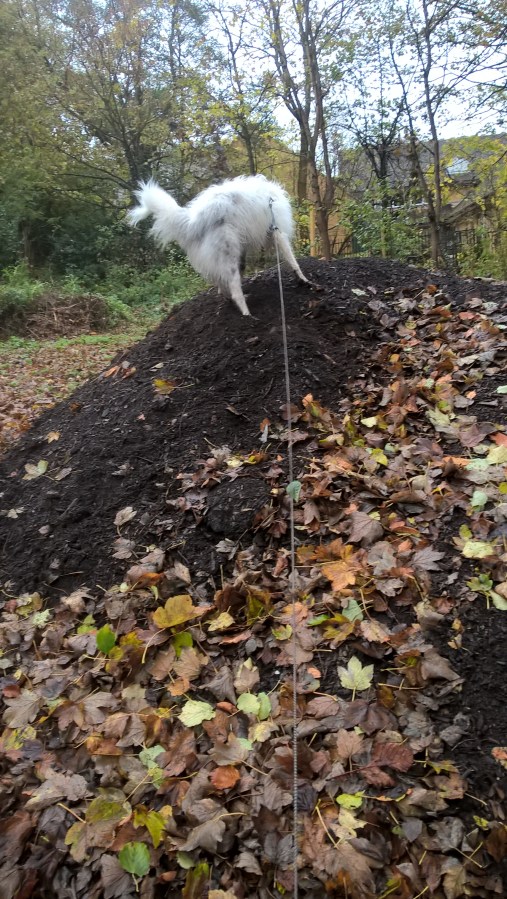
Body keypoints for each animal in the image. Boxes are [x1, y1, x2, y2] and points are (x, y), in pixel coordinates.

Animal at [127, 174, 311, 316]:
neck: (271, 198)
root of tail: (194, 221)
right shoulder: (277, 233)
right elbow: (293, 261)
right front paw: (304, 280)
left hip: (226, 257)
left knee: (223, 284)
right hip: (229, 254)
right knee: (236, 292)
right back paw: (248, 315)